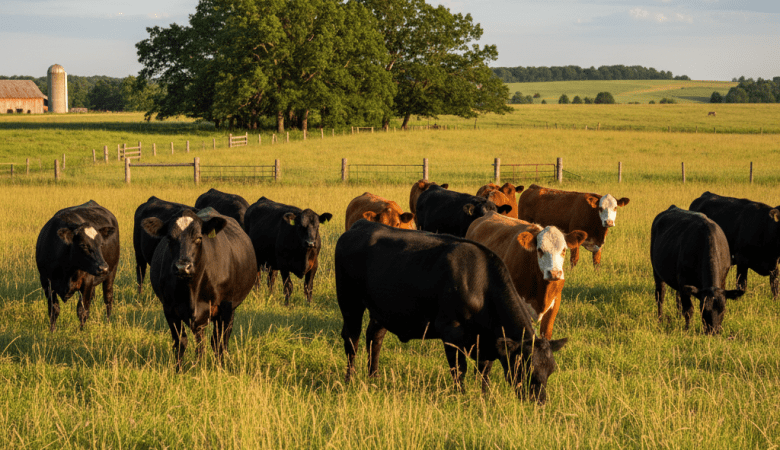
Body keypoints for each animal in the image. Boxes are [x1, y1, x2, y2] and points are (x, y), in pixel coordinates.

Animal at [36, 200, 119, 331]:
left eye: (101, 244)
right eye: (83, 245)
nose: (103, 268)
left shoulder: (87, 281)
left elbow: (82, 310)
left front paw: (81, 331)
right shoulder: (46, 281)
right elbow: (54, 309)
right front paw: (52, 331)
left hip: (112, 272)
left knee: (108, 299)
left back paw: (108, 322)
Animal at [142, 208, 257, 370]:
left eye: (198, 238)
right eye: (169, 238)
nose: (183, 267)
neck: (192, 290)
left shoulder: (225, 307)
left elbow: (219, 342)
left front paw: (219, 368)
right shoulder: (170, 309)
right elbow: (182, 341)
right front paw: (181, 369)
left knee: (220, 340)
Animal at [336, 220, 568, 404]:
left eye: (550, 370)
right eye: (526, 368)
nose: (539, 402)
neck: (480, 283)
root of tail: (361, 225)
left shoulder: (487, 340)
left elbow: (484, 372)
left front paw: (485, 398)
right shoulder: (451, 332)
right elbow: (459, 369)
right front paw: (460, 396)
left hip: (381, 310)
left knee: (375, 338)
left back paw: (373, 378)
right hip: (349, 302)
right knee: (352, 339)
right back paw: (350, 379)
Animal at [651, 205, 744, 334]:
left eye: (723, 309)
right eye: (703, 309)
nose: (713, 332)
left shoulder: (722, 280)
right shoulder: (683, 281)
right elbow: (688, 310)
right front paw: (687, 329)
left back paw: (678, 317)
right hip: (656, 271)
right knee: (660, 296)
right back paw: (660, 320)